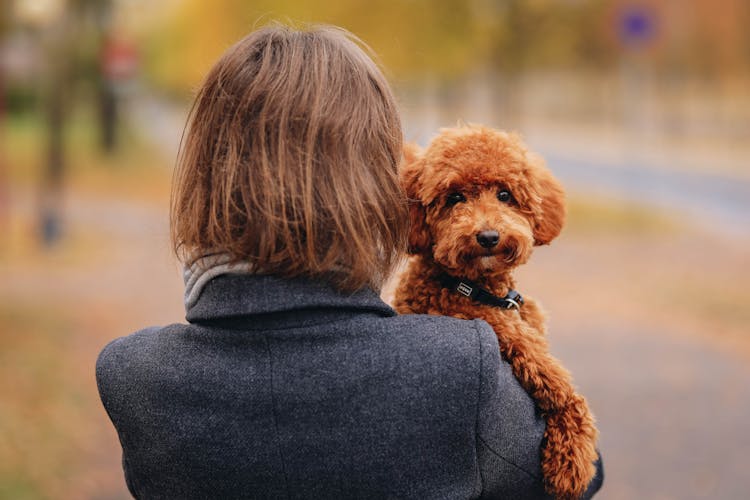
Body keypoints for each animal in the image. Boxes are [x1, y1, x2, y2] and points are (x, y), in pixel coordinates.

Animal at [394, 125, 600, 500]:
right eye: (455, 198)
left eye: (505, 194)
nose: (488, 236)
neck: (475, 288)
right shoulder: (520, 346)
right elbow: (565, 395)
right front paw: (572, 465)